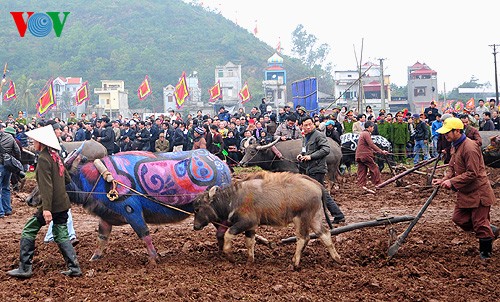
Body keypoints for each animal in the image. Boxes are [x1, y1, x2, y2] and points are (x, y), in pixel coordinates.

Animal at [26, 150, 231, 264]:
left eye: (55, 178)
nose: (29, 199)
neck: (100, 179)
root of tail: (222, 165)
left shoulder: (132, 211)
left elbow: (144, 234)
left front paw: (154, 259)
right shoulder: (106, 216)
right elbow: (102, 238)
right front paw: (94, 258)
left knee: (223, 228)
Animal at [193, 171, 342, 268]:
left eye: (197, 209)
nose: (195, 226)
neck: (234, 198)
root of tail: (317, 185)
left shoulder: (246, 222)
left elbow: (228, 234)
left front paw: (230, 256)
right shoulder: (251, 227)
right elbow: (250, 242)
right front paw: (250, 261)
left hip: (302, 218)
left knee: (303, 238)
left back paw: (295, 263)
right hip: (314, 218)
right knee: (324, 234)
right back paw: (337, 258)